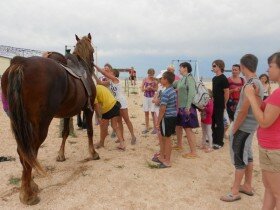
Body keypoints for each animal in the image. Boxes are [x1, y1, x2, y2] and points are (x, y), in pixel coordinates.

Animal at [0, 33, 99, 205]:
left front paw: (61, 155)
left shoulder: (68, 113)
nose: (93, 67)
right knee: (30, 151)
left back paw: (30, 185)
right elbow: (90, 132)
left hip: (20, 124)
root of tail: (21, 62)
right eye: (92, 50)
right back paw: (28, 194)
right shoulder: (88, 109)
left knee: (25, 153)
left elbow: (65, 132)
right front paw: (93, 153)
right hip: (40, 125)